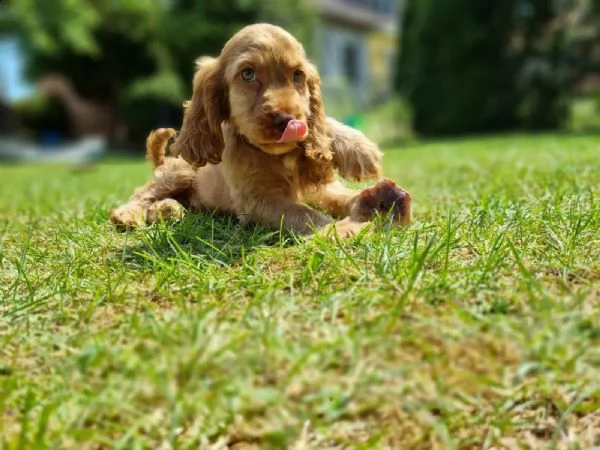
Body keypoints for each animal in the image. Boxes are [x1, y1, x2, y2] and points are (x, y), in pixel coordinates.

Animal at [110, 23, 412, 237]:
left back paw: (167, 210)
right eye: (248, 74)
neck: (279, 156)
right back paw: (129, 214)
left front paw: (363, 166)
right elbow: (304, 214)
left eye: (298, 75)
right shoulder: (259, 202)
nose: (287, 119)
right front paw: (339, 229)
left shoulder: (314, 188)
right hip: (181, 171)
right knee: (144, 192)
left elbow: (338, 192)